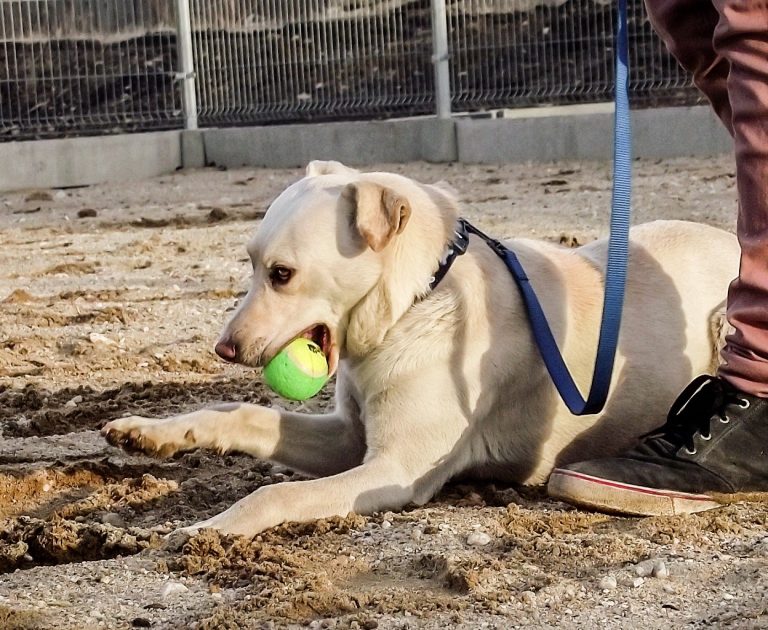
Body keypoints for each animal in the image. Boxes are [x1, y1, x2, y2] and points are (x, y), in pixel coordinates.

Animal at [102, 162, 736, 540]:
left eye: (282, 274)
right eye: (250, 263)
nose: (224, 348)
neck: (416, 300)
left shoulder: (396, 471)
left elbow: (273, 491)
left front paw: (209, 529)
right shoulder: (349, 437)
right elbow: (243, 414)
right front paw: (152, 433)